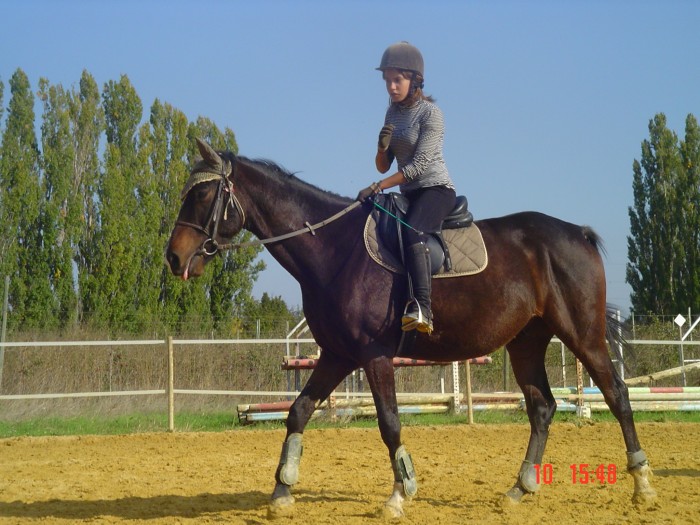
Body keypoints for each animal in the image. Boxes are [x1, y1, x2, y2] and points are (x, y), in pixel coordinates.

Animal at [165, 138, 656, 518]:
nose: (173, 257)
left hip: (582, 335)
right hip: (526, 343)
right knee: (542, 408)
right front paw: (282, 491)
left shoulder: (374, 355)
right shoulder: (338, 355)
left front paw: (400, 494)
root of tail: (576, 233)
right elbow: (299, 411)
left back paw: (643, 484)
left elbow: (389, 422)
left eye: (202, 197)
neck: (333, 248)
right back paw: (519, 489)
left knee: (617, 396)